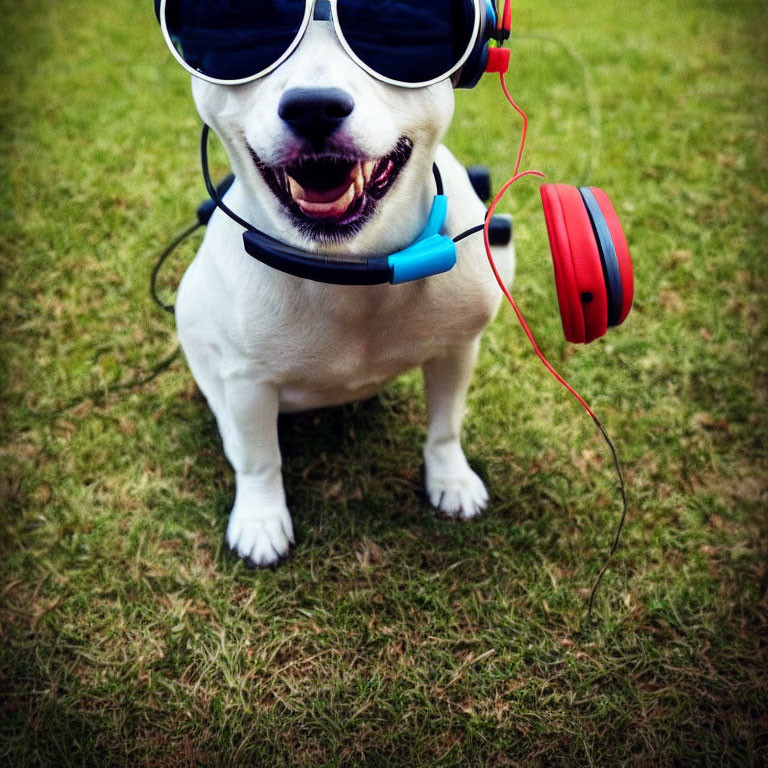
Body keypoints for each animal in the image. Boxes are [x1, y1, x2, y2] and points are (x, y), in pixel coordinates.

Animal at [171, 15, 512, 564]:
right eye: (244, 35)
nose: (313, 107)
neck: (353, 265)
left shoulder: (457, 349)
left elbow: (445, 426)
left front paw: (451, 479)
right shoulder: (247, 382)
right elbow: (260, 460)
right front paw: (261, 517)